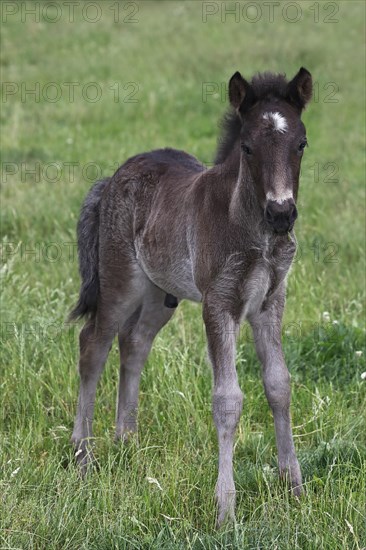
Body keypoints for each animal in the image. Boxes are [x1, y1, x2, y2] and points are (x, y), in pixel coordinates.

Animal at [71, 67, 312, 528]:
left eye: (301, 143)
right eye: (248, 147)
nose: (281, 213)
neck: (253, 230)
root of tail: (112, 178)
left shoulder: (270, 303)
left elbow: (279, 384)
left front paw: (294, 488)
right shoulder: (220, 304)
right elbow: (228, 400)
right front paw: (225, 512)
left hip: (159, 293)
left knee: (134, 342)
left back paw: (127, 442)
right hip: (122, 282)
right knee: (94, 343)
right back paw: (81, 455)